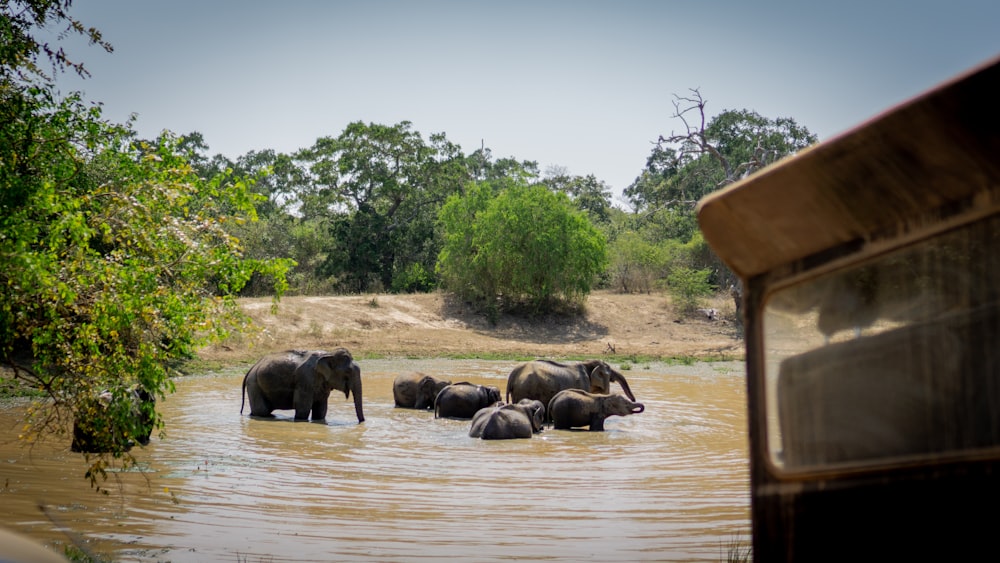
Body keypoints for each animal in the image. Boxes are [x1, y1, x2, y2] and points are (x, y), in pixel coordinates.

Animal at [504, 362, 636, 418]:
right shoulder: (583, 384)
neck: (588, 364)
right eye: (611, 376)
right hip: (525, 388)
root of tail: (512, 375)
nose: (634, 399)